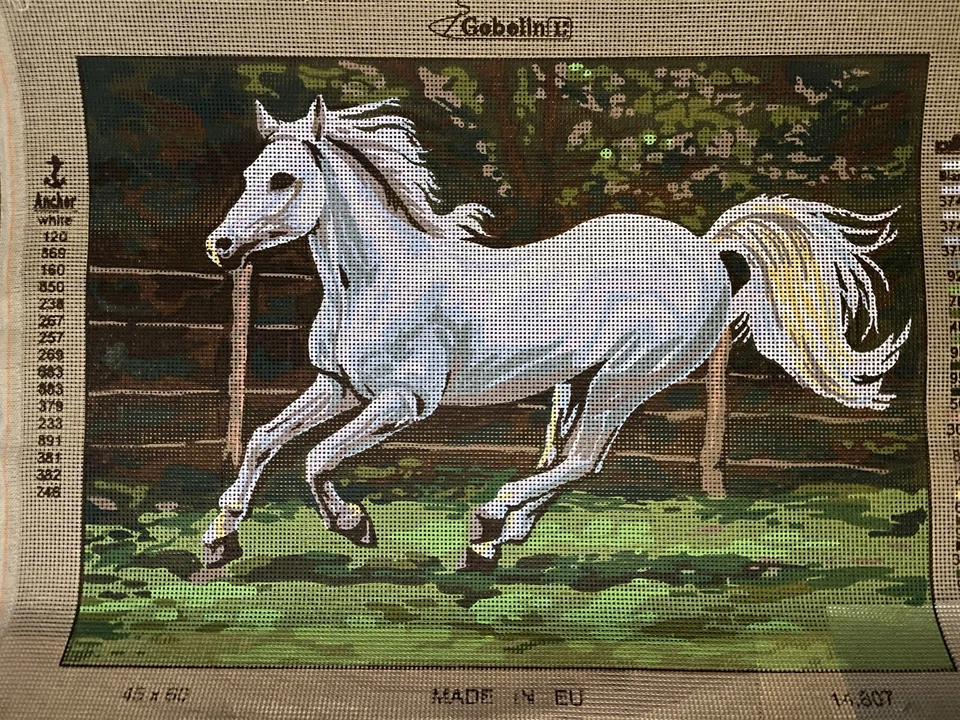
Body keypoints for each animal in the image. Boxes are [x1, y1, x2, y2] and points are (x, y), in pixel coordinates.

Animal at [200, 96, 910, 571]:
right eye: (248, 176)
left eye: (284, 178)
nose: (219, 248)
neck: (378, 280)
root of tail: (707, 249)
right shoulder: (340, 386)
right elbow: (263, 440)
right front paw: (218, 539)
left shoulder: (403, 404)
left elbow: (316, 459)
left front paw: (356, 527)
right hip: (578, 382)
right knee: (563, 460)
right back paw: (492, 541)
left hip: (625, 382)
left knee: (581, 460)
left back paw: (489, 520)